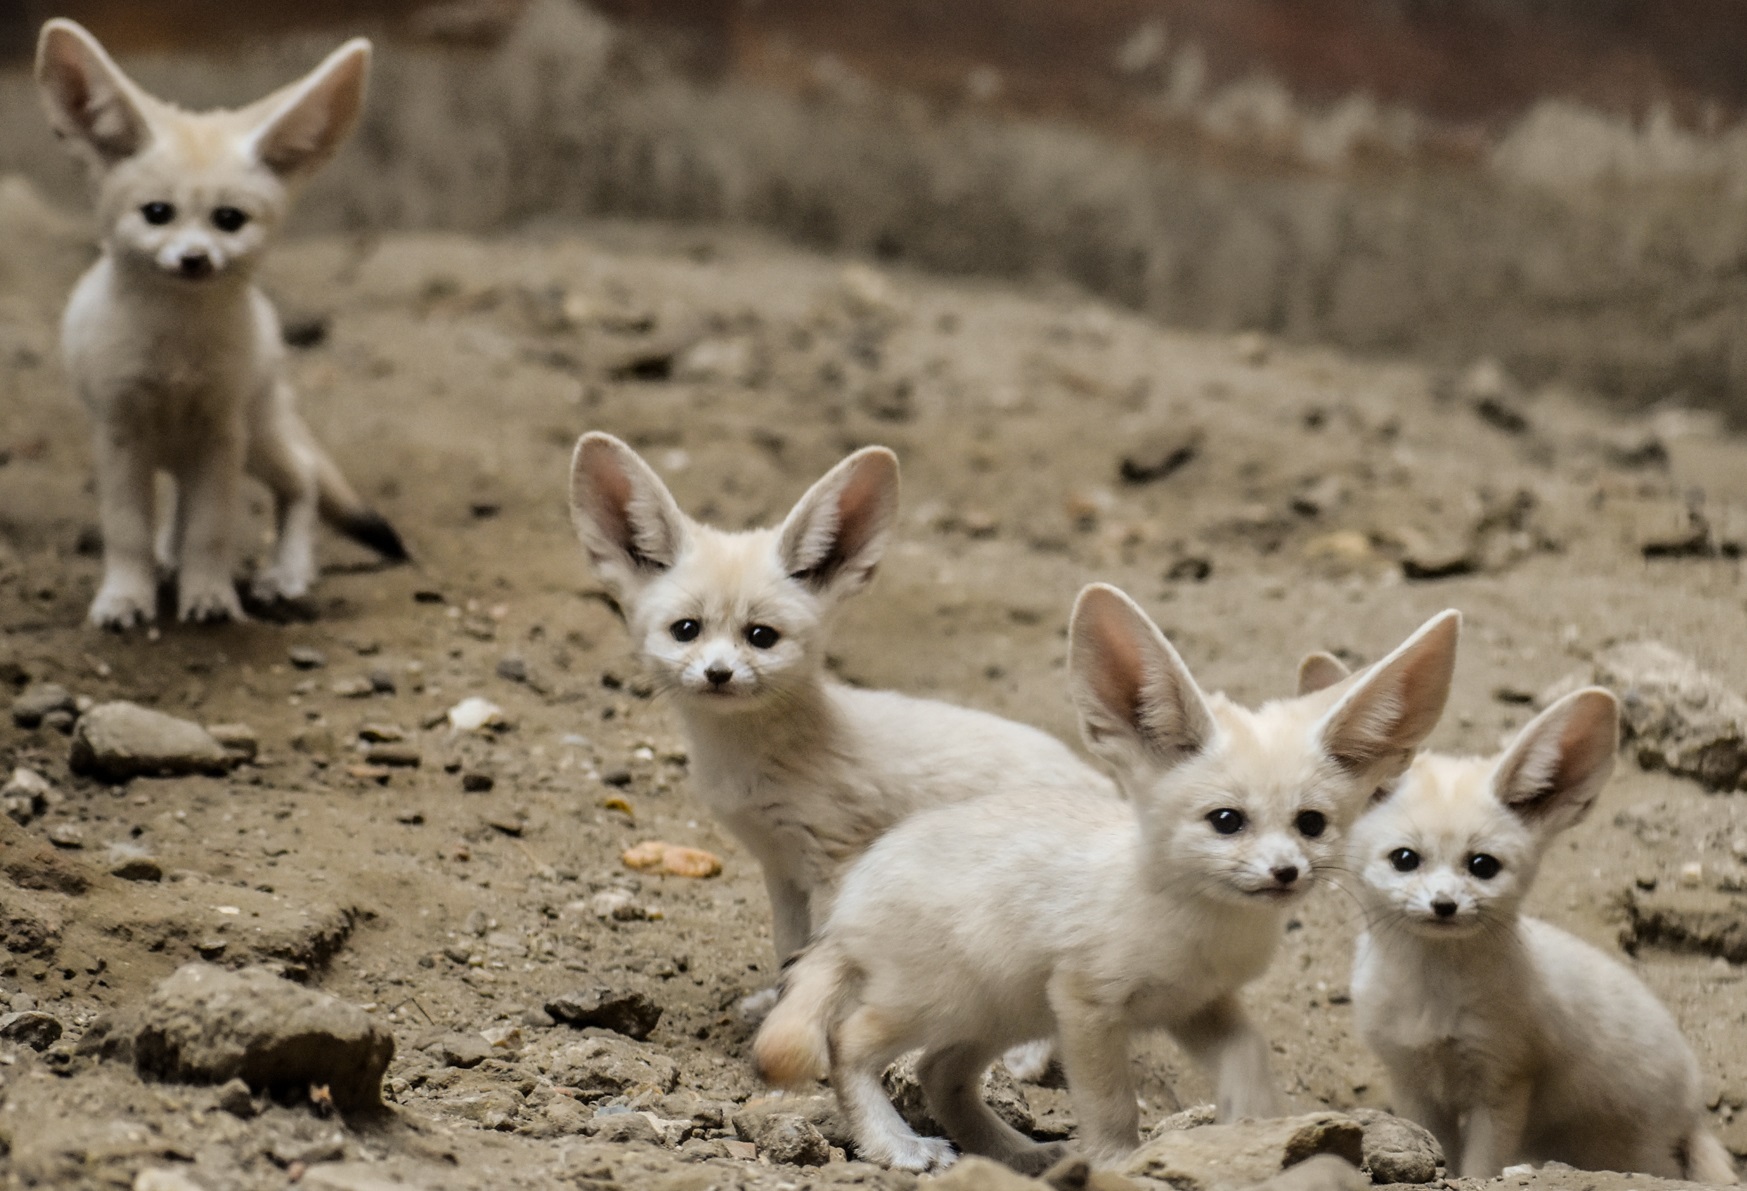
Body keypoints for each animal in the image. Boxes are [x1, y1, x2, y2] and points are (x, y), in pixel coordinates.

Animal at [36, 20, 405, 632]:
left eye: (228, 220)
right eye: (156, 213)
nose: (194, 259)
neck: (175, 356)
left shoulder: (220, 433)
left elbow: (211, 530)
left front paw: (209, 596)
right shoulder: (119, 433)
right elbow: (128, 531)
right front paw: (125, 597)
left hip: (257, 435)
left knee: (303, 475)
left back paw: (286, 572)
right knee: (184, 506)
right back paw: (168, 560)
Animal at [573, 433, 1118, 970]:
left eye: (761, 636)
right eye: (686, 630)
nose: (718, 674)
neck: (745, 762)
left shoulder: (837, 858)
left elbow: (820, 957)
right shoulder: (781, 867)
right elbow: (787, 950)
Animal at [761, 583, 1460, 1166]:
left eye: (1311, 823)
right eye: (1226, 821)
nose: (1286, 872)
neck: (1198, 923)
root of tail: (848, 907)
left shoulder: (1198, 1003)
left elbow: (1250, 1053)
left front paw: (1252, 1121)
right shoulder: (1086, 1004)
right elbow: (1110, 1101)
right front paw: (1119, 1162)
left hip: (1002, 1012)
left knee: (940, 1073)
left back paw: (1017, 1154)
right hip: (942, 1000)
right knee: (848, 1041)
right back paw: (898, 1146)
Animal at [1334, 674, 1733, 1180]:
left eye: (1482, 866)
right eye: (1404, 859)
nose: (1444, 905)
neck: (1431, 997)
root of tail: (1693, 1108)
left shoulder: (1502, 1083)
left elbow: (1480, 1167)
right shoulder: (1412, 1081)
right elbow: (1441, 1153)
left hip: (1634, 1151)